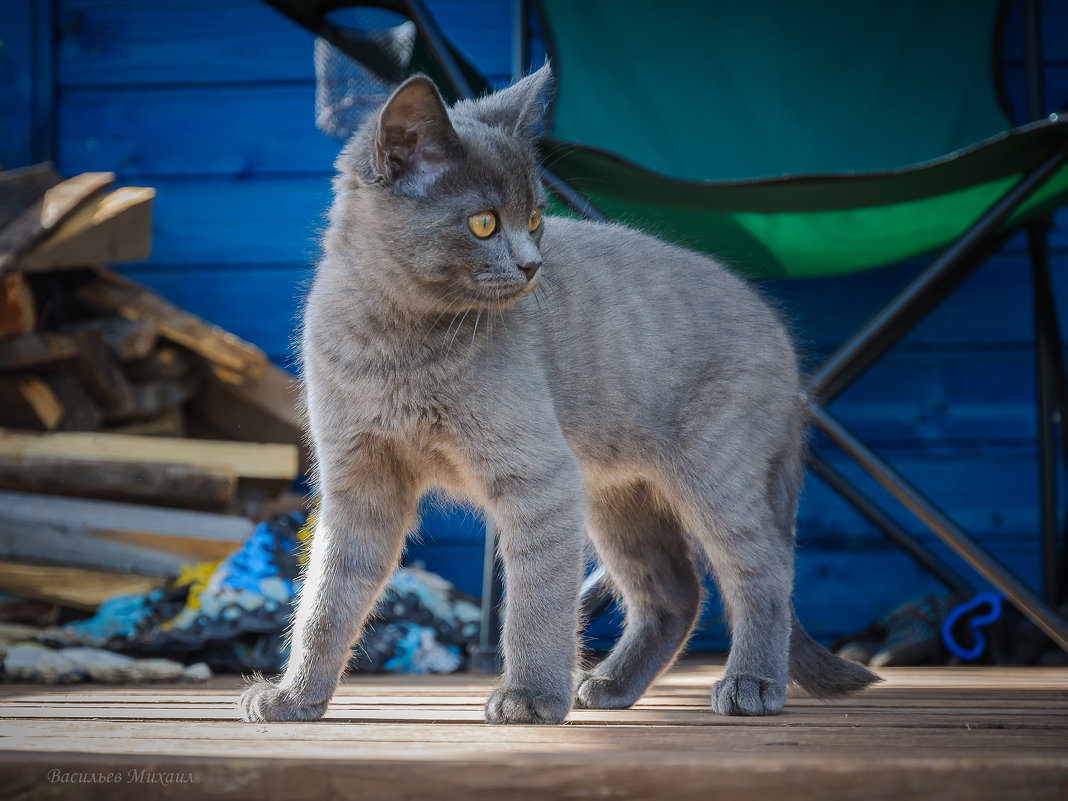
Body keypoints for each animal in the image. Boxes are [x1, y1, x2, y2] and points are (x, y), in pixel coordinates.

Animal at [240, 65, 875, 726]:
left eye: (536, 219)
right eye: (485, 222)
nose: (532, 265)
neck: (396, 346)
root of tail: (786, 348)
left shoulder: (538, 477)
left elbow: (534, 602)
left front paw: (530, 697)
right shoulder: (358, 480)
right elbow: (326, 597)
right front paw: (294, 698)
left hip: (714, 472)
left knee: (764, 571)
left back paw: (751, 684)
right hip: (616, 496)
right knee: (677, 592)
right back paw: (611, 685)